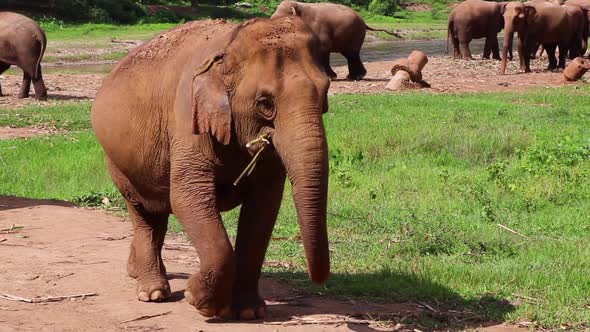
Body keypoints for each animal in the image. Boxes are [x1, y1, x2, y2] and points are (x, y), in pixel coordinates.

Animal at [92, 16, 332, 320]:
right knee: (144, 212)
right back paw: (152, 292)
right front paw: (198, 299)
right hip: (119, 163)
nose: (319, 282)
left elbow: (263, 209)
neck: (228, 46)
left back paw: (136, 272)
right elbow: (186, 197)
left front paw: (249, 312)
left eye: (325, 94)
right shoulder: (188, 119)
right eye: (265, 103)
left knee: (158, 213)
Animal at [272, 0, 402, 80]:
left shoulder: (320, 29)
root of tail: (364, 21)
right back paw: (354, 77)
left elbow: (323, 49)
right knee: (350, 54)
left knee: (352, 54)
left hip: (355, 33)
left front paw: (330, 78)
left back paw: (356, 77)